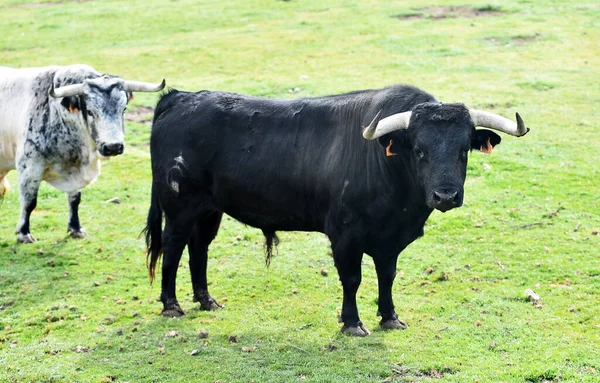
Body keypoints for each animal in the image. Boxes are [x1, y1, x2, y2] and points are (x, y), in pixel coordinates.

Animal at [0, 63, 164, 243]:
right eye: (90, 111)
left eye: (124, 109)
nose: (113, 146)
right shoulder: (29, 167)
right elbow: (29, 202)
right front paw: (24, 233)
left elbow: (74, 200)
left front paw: (75, 228)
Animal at [143, 84, 528, 336]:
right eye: (419, 150)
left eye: (464, 150)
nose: (445, 195)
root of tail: (180, 97)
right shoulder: (345, 235)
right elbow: (352, 278)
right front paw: (353, 323)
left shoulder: (390, 240)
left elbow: (387, 276)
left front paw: (390, 317)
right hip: (179, 208)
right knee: (173, 248)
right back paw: (172, 305)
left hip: (209, 210)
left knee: (199, 248)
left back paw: (207, 301)